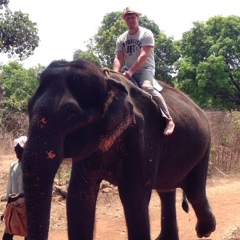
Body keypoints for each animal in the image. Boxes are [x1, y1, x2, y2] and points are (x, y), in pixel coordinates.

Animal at [22, 58, 216, 240]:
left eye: (72, 114)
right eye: (29, 107)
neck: (108, 82)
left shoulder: (143, 133)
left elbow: (134, 197)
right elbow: (79, 195)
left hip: (205, 146)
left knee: (194, 191)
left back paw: (205, 230)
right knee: (167, 190)